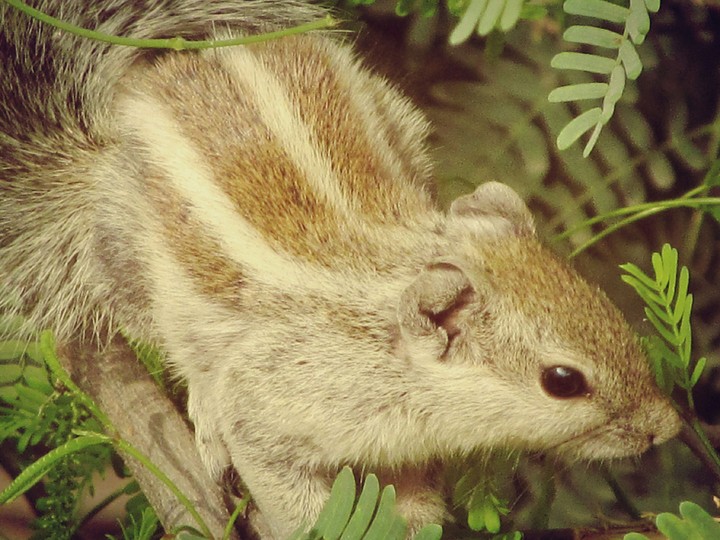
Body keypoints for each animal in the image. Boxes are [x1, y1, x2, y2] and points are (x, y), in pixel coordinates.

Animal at [0, 1, 681, 537]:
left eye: (605, 305)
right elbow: (278, 476)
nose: (667, 427)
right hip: (128, 268)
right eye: (563, 381)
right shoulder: (273, 398)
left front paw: (417, 513)